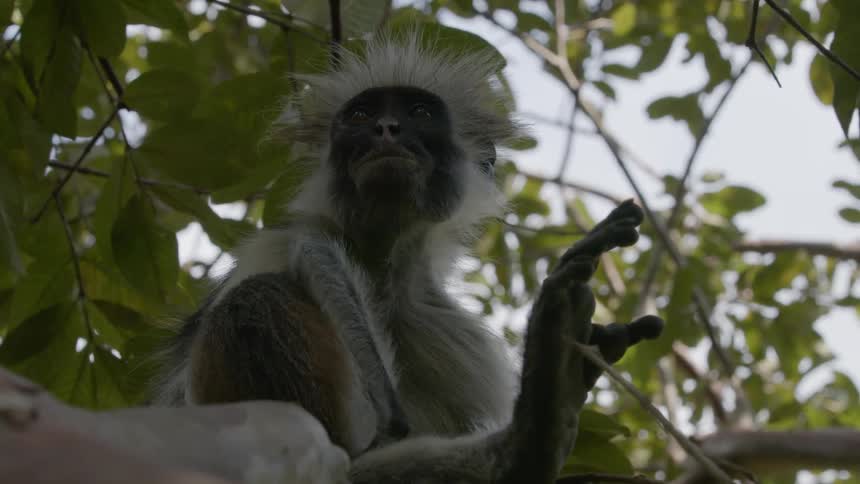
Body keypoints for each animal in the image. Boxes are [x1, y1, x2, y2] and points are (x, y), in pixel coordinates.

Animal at [151, 32, 663, 481]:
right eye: (360, 115)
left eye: (418, 112)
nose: (386, 129)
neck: (380, 272)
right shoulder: (276, 245)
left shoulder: (452, 333)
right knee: (255, 302)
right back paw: (532, 434)